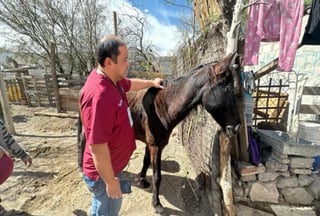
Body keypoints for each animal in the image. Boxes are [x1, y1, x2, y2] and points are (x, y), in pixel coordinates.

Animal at [126, 52, 241, 213]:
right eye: (228, 89)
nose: (236, 127)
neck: (160, 107)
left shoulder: (151, 144)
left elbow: (145, 161)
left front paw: (142, 181)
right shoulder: (156, 146)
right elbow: (157, 176)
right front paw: (157, 204)